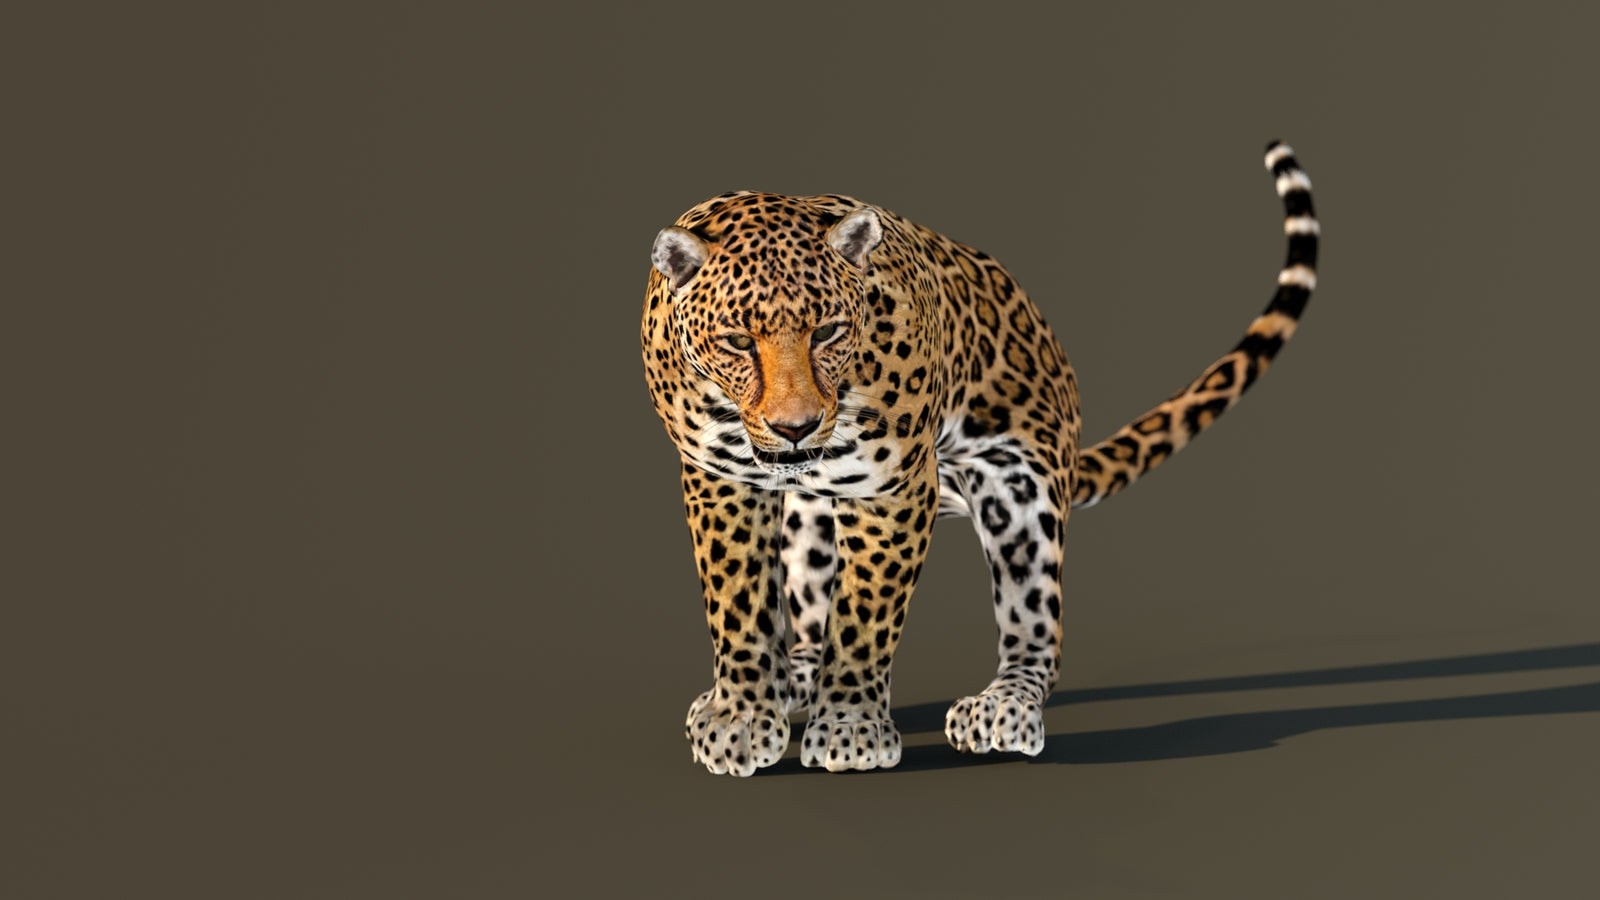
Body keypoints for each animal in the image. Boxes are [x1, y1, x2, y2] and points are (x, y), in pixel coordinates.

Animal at [641, 142, 1318, 776]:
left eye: (828, 331)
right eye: (736, 341)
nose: (796, 427)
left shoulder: (893, 488)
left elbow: (865, 616)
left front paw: (851, 727)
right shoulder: (719, 476)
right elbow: (737, 602)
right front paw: (742, 717)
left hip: (1020, 492)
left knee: (1037, 629)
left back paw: (1003, 707)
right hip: (812, 521)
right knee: (809, 614)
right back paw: (794, 679)